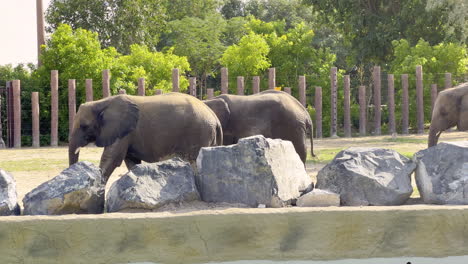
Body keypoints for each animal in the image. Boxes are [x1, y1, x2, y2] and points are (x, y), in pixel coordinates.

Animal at [69, 92, 223, 183]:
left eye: (84, 126)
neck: (101, 103)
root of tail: (214, 117)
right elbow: (131, 161)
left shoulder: (124, 130)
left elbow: (111, 158)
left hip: (199, 133)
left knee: (194, 161)